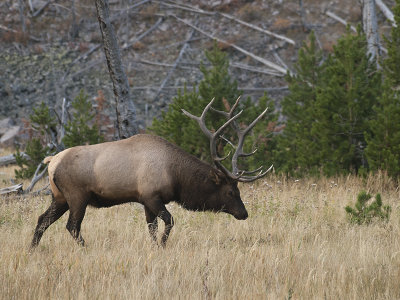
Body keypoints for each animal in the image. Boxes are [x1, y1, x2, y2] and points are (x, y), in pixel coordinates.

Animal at [29, 97, 270, 250]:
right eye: (230, 192)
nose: (244, 213)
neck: (176, 176)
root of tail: (51, 162)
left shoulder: (145, 200)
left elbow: (151, 228)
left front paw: (155, 246)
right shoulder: (151, 195)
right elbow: (169, 221)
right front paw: (163, 245)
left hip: (59, 197)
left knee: (42, 220)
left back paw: (32, 249)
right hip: (77, 196)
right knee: (72, 226)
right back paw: (85, 248)